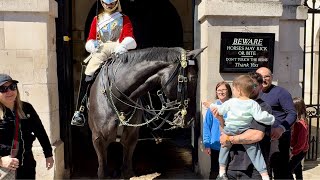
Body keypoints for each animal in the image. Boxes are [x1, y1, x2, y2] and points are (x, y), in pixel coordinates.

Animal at [87, 46, 204, 177]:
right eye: (192, 79)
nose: (190, 119)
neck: (116, 98)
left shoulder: (131, 141)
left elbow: (127, 170)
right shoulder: (98, 141)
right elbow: (103, 171)